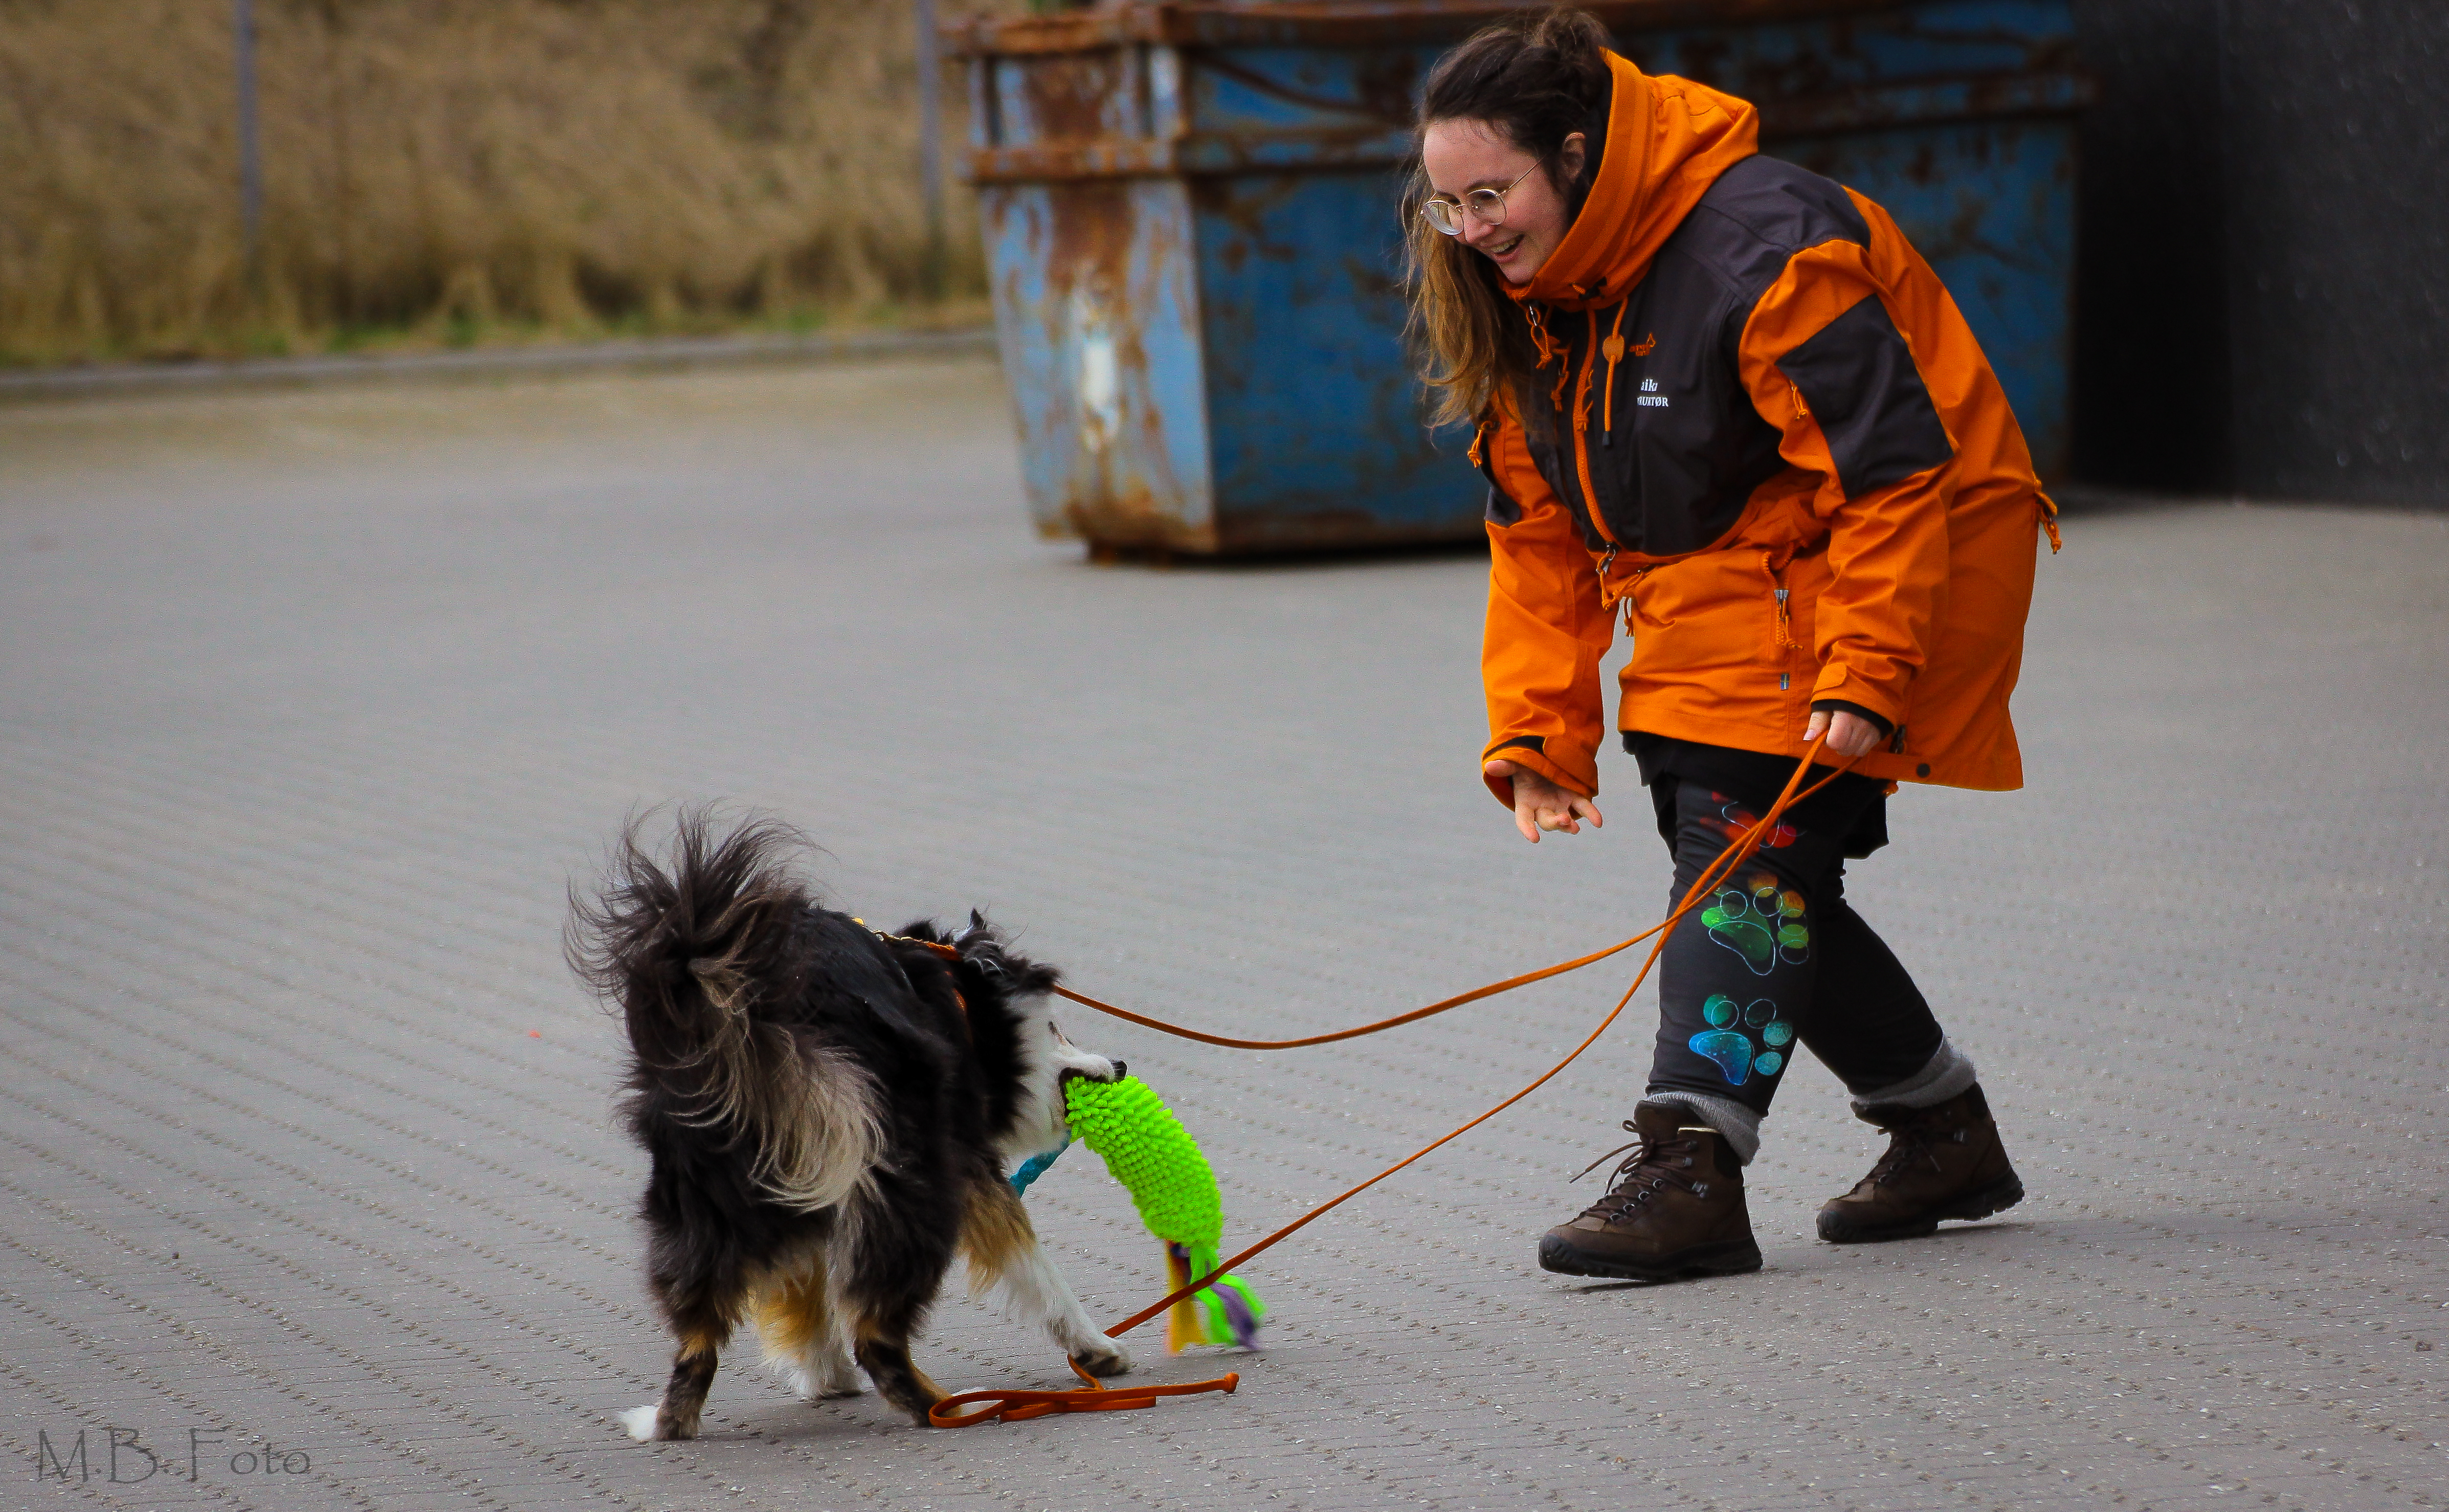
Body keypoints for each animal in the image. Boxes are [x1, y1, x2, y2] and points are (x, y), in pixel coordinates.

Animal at [573, 809, 1136, 1431]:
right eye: (1059, 1028)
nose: (1120, 1065)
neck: (961, 1003)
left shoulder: (808, 1173)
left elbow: (802, 1282)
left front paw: (823, 1374)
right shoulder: (962, 1162)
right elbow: (1033, 1263)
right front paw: (1094, 1347)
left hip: (704, 1190)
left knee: (697, 1335)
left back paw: (669, 1421)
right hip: (908, 1172)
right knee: (877, 1336)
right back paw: (951, 1407)